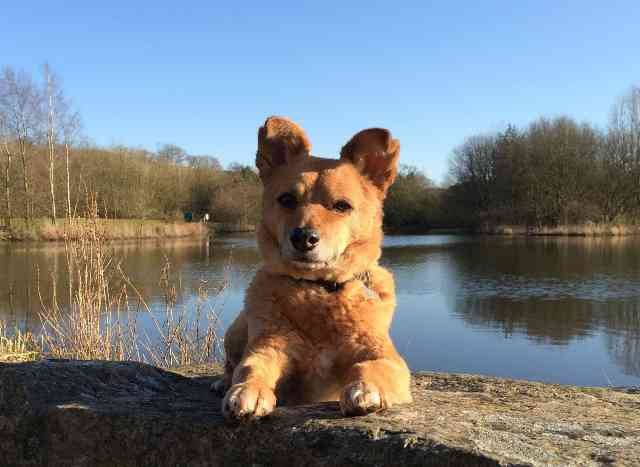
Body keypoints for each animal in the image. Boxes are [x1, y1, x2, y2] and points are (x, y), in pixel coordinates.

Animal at [218, 115, 412, 418]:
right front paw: (248, 390)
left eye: (342, 206)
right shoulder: (268, 346)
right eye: (287, 200)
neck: (317, 288)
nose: (303, 237)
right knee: (230, 364)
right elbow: (251, 367)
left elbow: (374, 367)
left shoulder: (385, 356)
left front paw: (367, 388)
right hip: (237, 329)